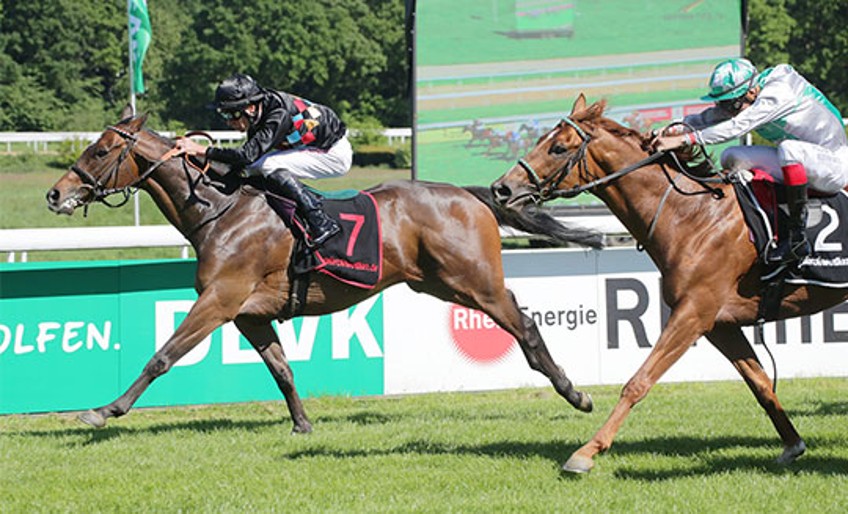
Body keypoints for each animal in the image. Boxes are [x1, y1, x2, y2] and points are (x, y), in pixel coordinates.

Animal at [43, 108, 600, 432]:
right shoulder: (249, 314)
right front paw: (302, 425)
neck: (221, 211)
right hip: (444, 284)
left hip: (476, 282)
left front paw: (104, 410)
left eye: (100, 150)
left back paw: (575, 394)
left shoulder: (219, 300)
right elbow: (282, 370)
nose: (54, 194)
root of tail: (468, 194)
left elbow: (162, 356)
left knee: (526, 325)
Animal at [490, 93, 840, 472]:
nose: (501, 188)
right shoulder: (720, 323)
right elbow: (760, 382)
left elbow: (638, 381)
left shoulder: (693, 313)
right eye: (540, 139)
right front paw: (792, 444)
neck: (693, 216)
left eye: (557, 147)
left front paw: (586, 452)